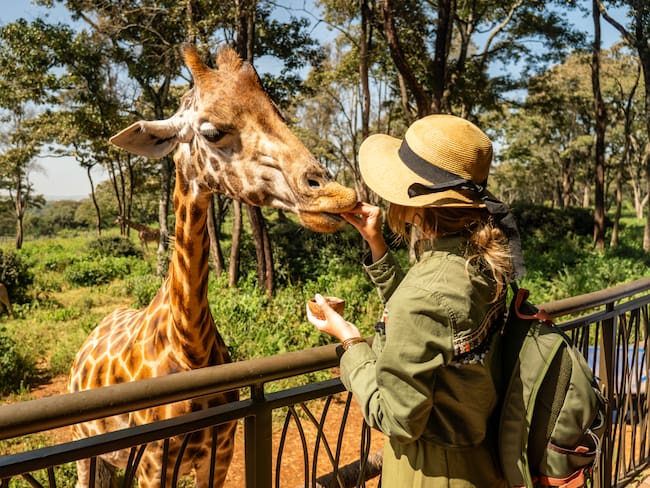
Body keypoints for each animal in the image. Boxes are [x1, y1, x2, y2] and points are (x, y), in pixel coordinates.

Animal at [69, 44, 358, 488]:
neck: (190, 348)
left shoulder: (219, 455)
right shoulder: (153, 465)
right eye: (211, 132)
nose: (335, 195)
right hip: (85, 448)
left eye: (279, 115)